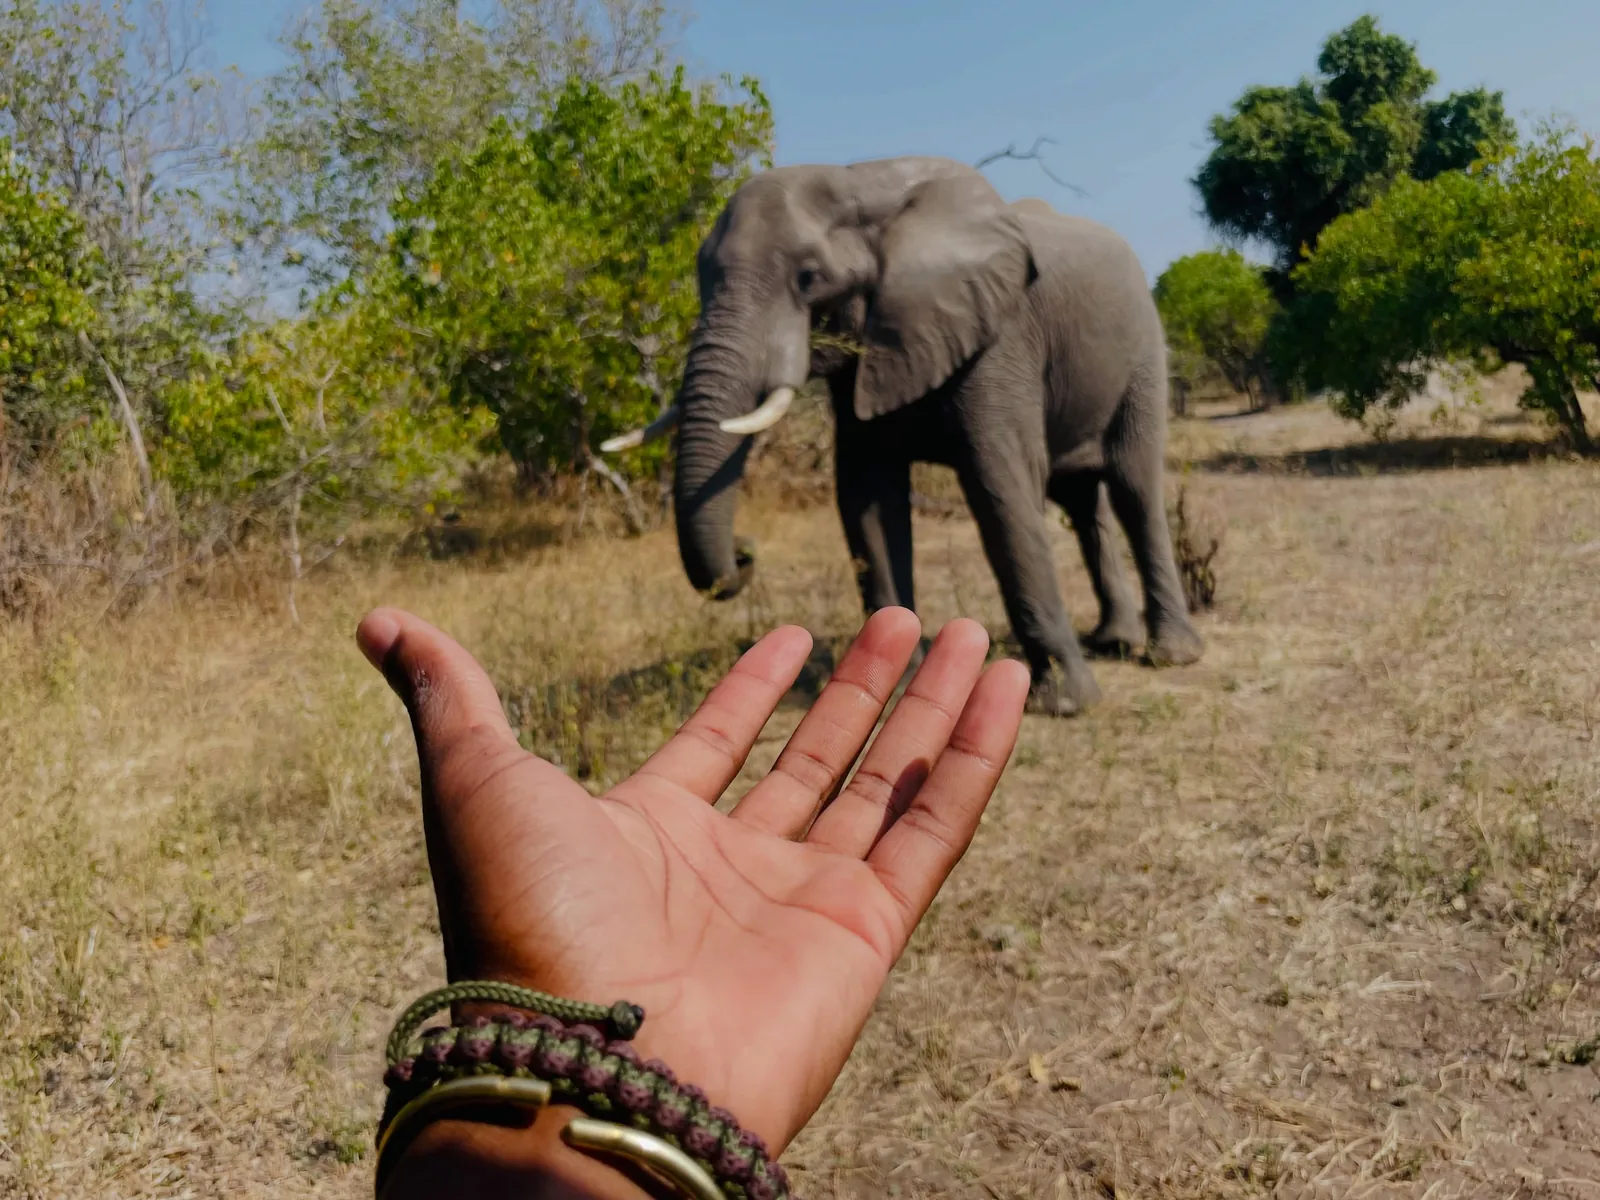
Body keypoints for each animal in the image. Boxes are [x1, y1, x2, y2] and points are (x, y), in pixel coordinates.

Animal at [601, 155, 1204, 715]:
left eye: (809, 278)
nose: (746, 552)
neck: (861, 184)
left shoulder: (999, 338)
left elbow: (1001, 491)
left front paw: (1064, 706)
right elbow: (868, 500)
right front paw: (892, 688)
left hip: (1144, 351)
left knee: (1133, 488)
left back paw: (1171, 656)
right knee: (1081, 503)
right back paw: (1112, 642)